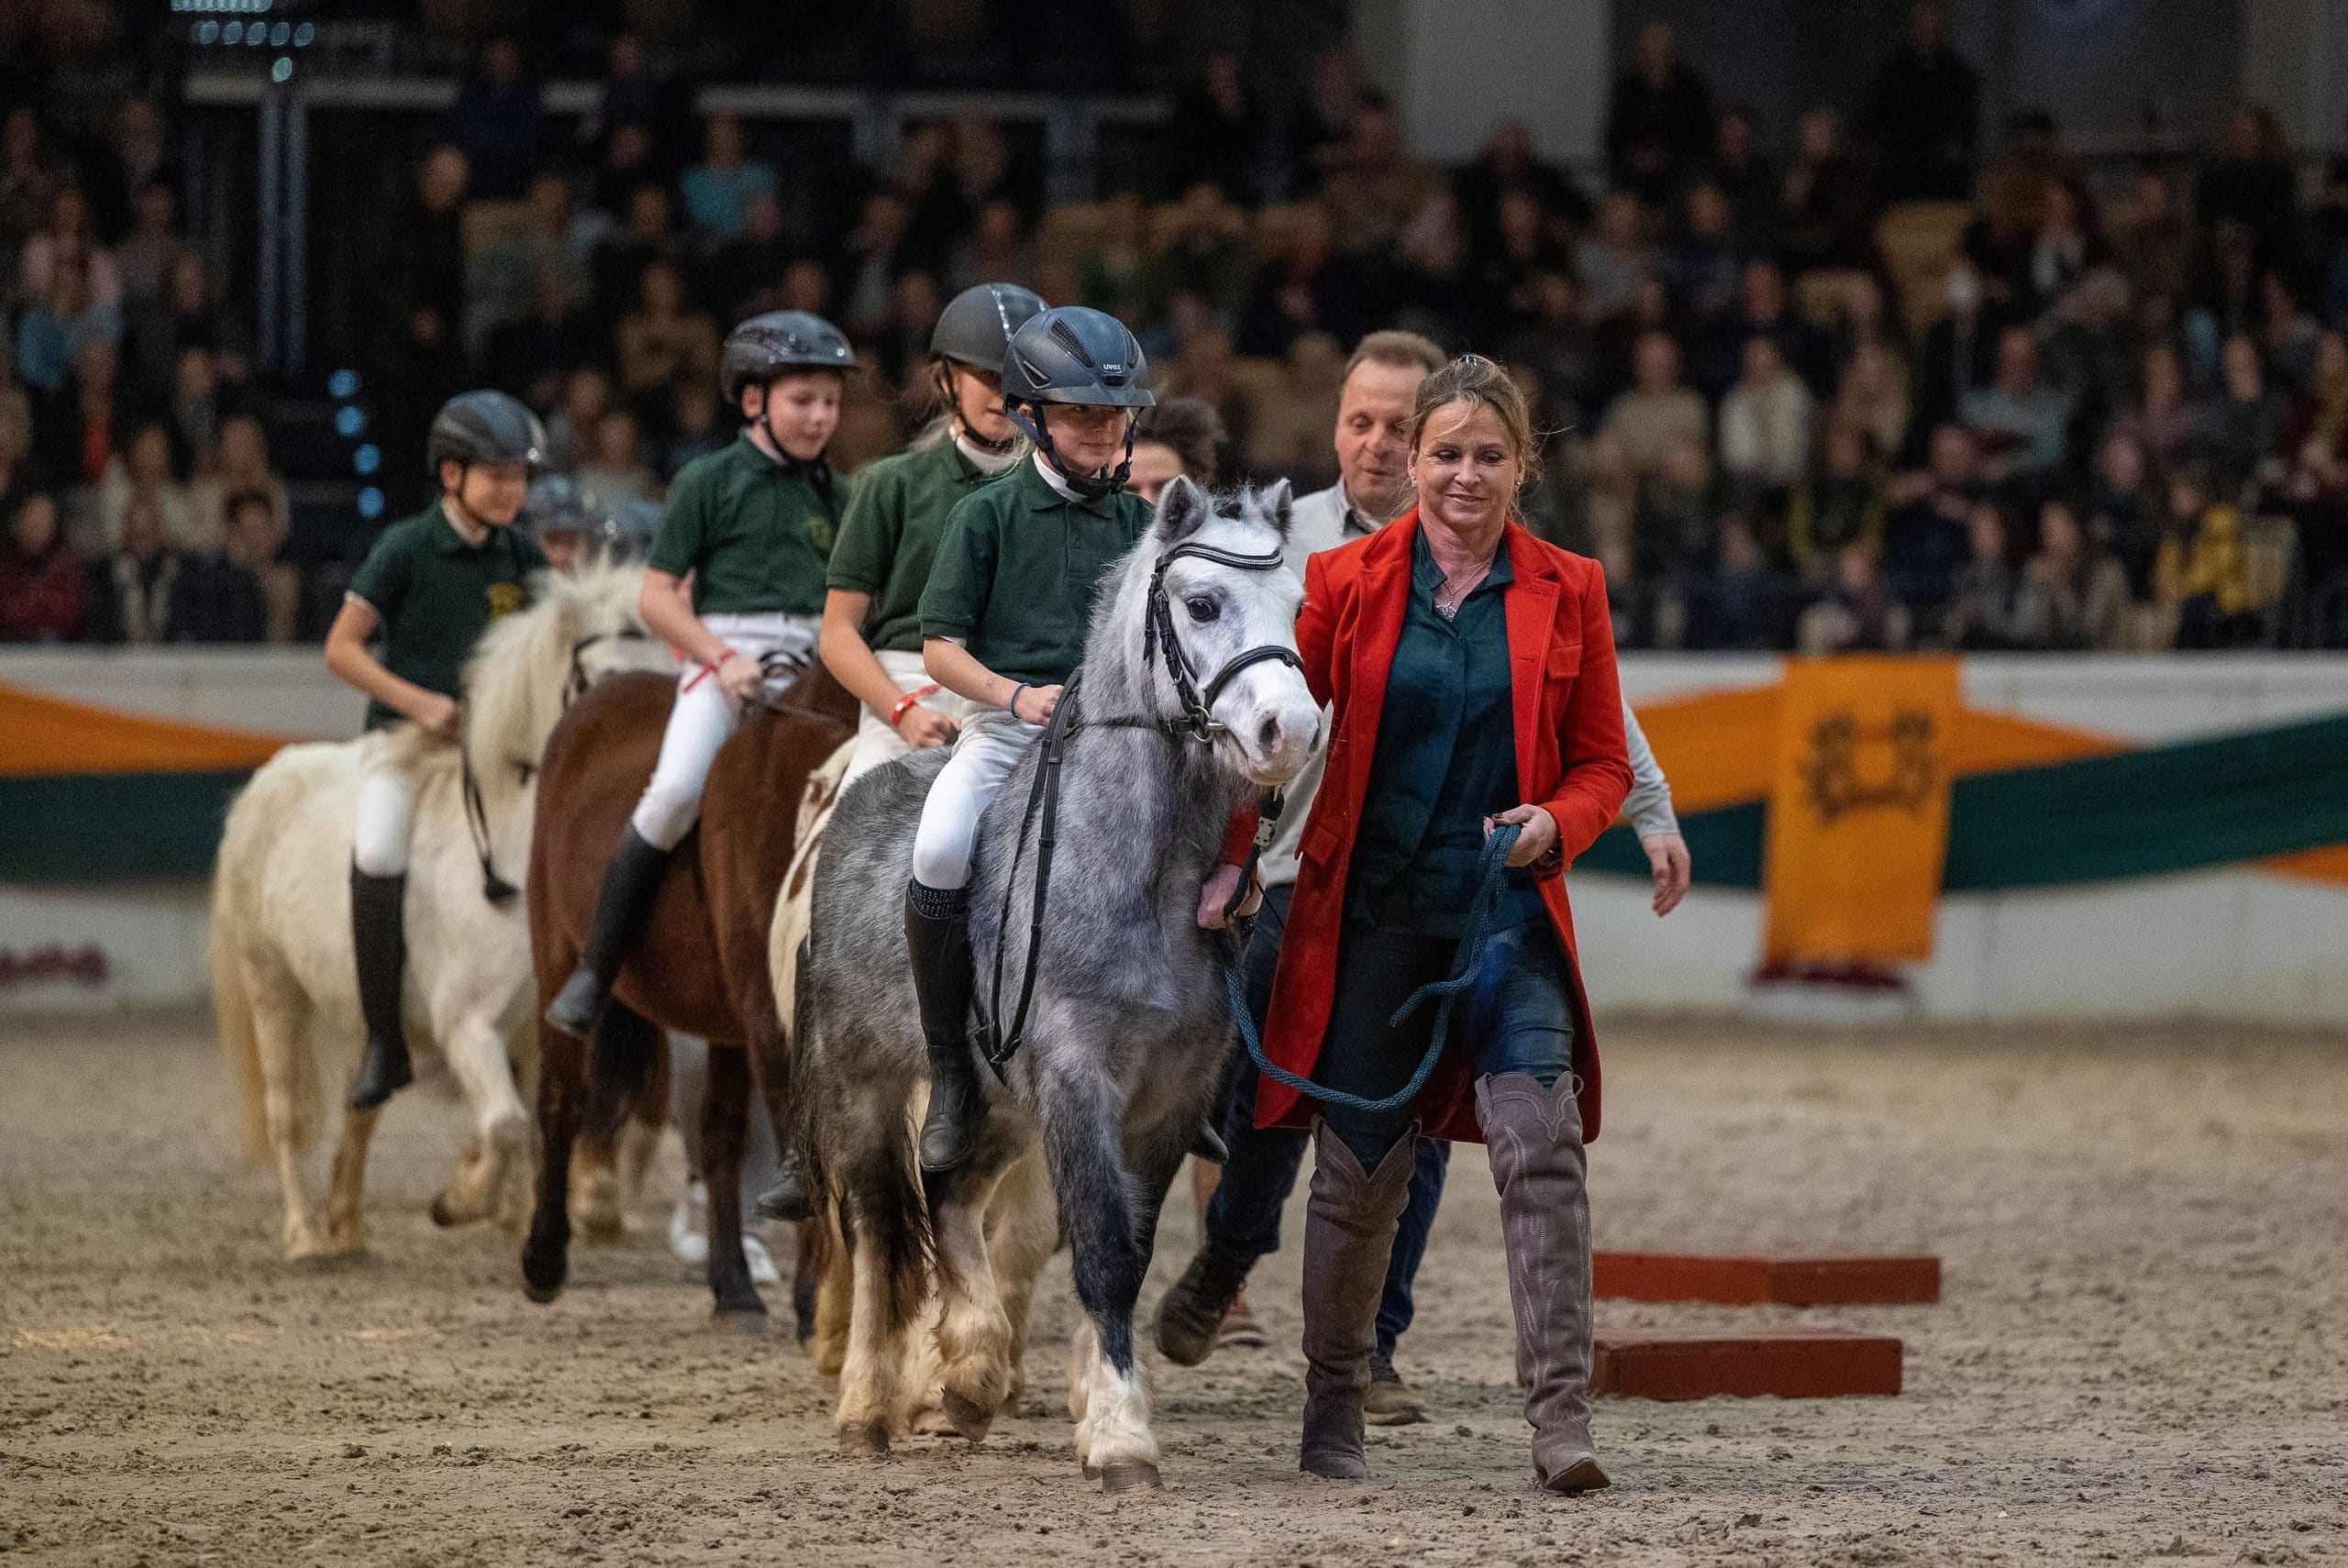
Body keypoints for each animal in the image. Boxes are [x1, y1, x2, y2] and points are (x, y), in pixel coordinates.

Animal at [215, 563, 671, 1258]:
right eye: (606, 681)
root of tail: (271, 776)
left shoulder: (544, 1033)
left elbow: (539, 1127)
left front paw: (519, 1220)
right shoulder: (467, 1028)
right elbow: (508, 1125)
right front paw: (461, 1202)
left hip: (360, 1010)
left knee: (361, 1105)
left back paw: (347, 1226)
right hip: (272, 985)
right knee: (286, 1113)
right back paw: (307, 1237)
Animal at [518, 657, 858, 1333]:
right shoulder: (774, 1016)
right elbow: (801, 1137)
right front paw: (817, 1299)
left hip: (726, 1025)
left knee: (720, 1138)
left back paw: (734, 1288)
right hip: (557, 956)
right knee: (561, 1103)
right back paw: (543, 1261)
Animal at [798, 474, 1324, 1483]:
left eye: (1297, 608)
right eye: (1203, 605)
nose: (1294, 730)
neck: (1141, 869)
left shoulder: (1167, 1096)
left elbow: (1128, 1242)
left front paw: (1094, 1403)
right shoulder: (1080, 1074)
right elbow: (1105, 1245)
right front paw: (1119, 1435)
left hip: (998, 1101)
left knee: (950, 1192)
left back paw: (969, 1374)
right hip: (862, 1085)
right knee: (881, 1228)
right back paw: (867, 1409)